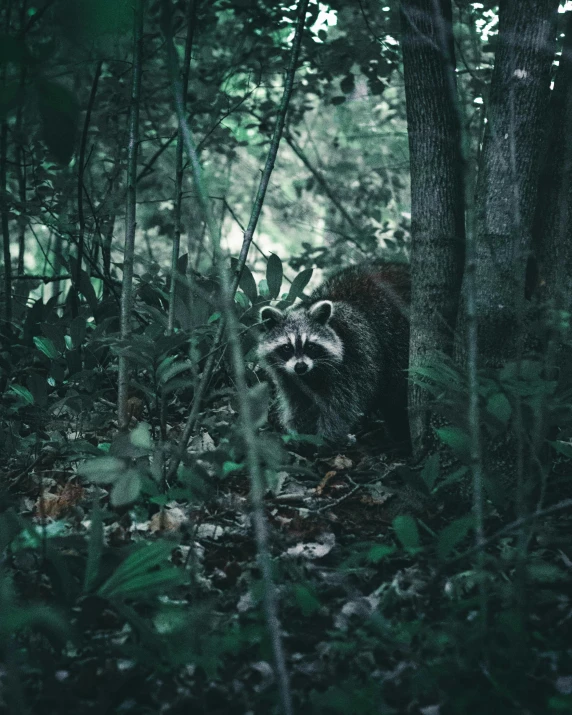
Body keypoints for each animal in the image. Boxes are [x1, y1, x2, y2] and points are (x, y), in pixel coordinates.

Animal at [256, 262, 408, 442]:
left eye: (310, 346)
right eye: (287, 347)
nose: (300, 367)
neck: (311, 374)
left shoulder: (355, 357)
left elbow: (340, 408)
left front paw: (326, 438)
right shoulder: (289, 378)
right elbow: (298, 402)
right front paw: (301, 432)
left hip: (398, 339)